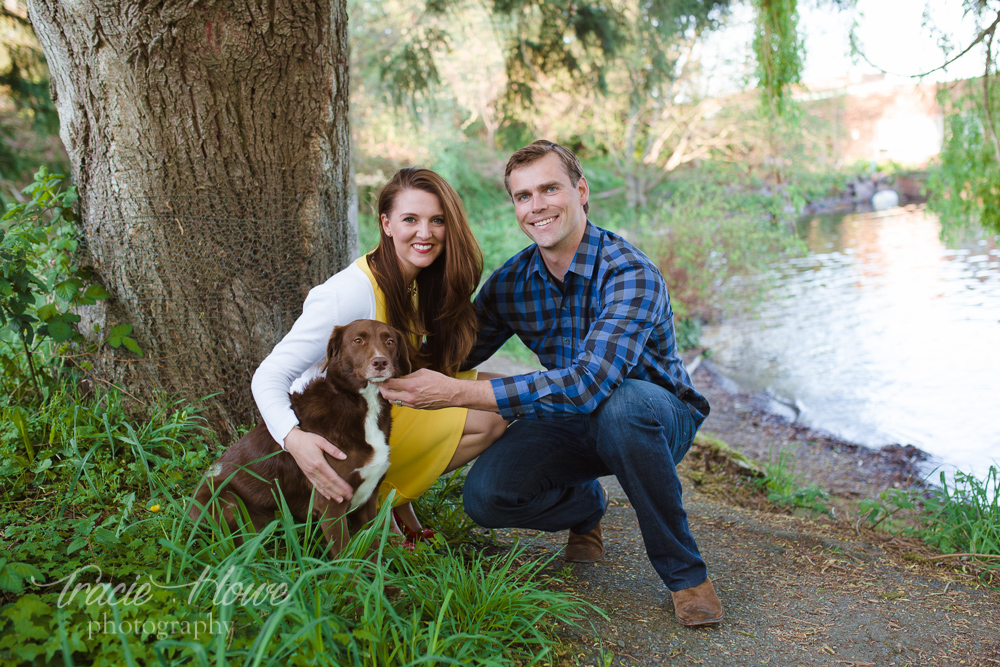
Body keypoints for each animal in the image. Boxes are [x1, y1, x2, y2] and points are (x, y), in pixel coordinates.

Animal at [191, 318, 410, 560]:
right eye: (358, 341)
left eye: (389, 341)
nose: (380, 362)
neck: (361, 404)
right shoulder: (331, 503)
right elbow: (345, 557)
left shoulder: (367, 501)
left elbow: (371, 553)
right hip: (225, 502)